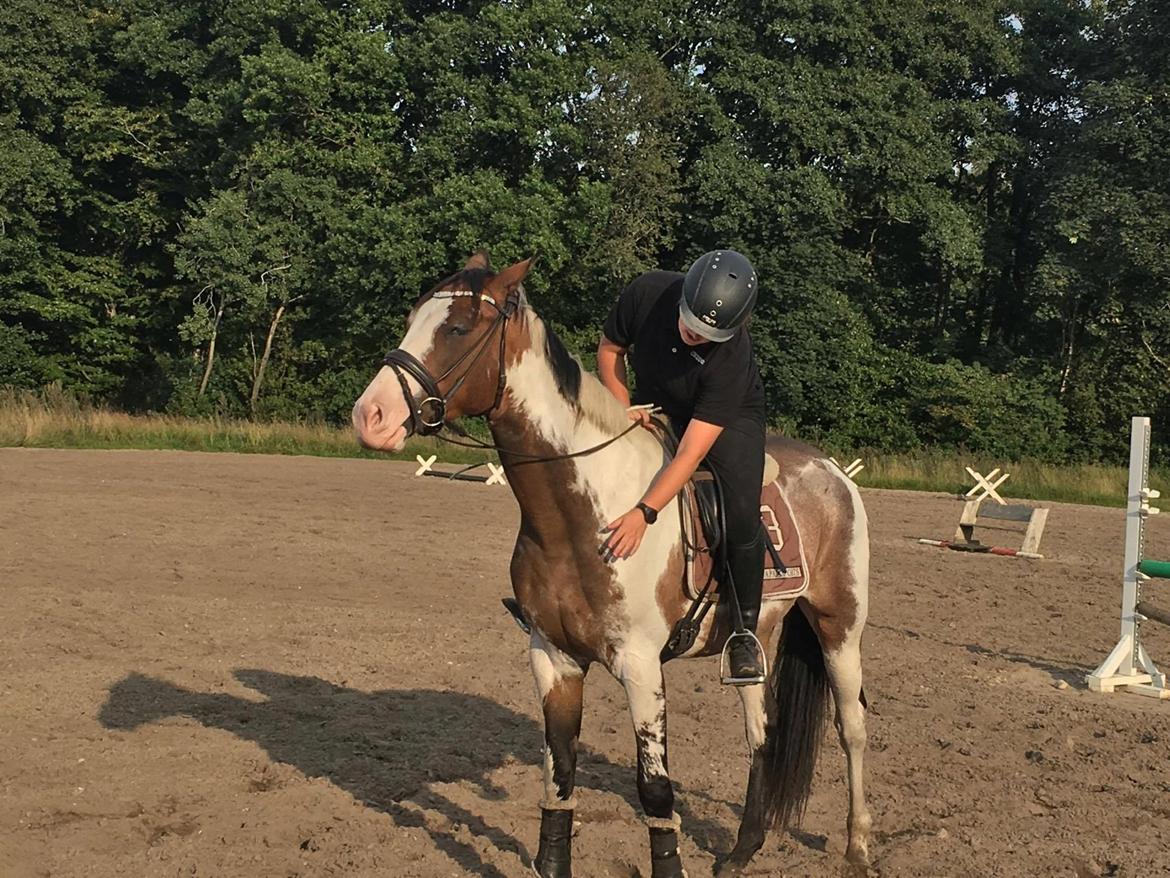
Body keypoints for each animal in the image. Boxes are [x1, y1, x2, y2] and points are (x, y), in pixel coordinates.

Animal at [351, 254, 875, 878]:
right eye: (413, 319)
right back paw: (743, 849)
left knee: (851, 728)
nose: (370, 415)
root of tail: (831, 471)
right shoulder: (553, 658)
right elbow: (559, 774)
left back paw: (858, 845)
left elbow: (656, 790)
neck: (584, 514)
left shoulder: (641, 666)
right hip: (757, 640)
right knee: (761, 732)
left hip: (839, 629)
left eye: (456, 328)